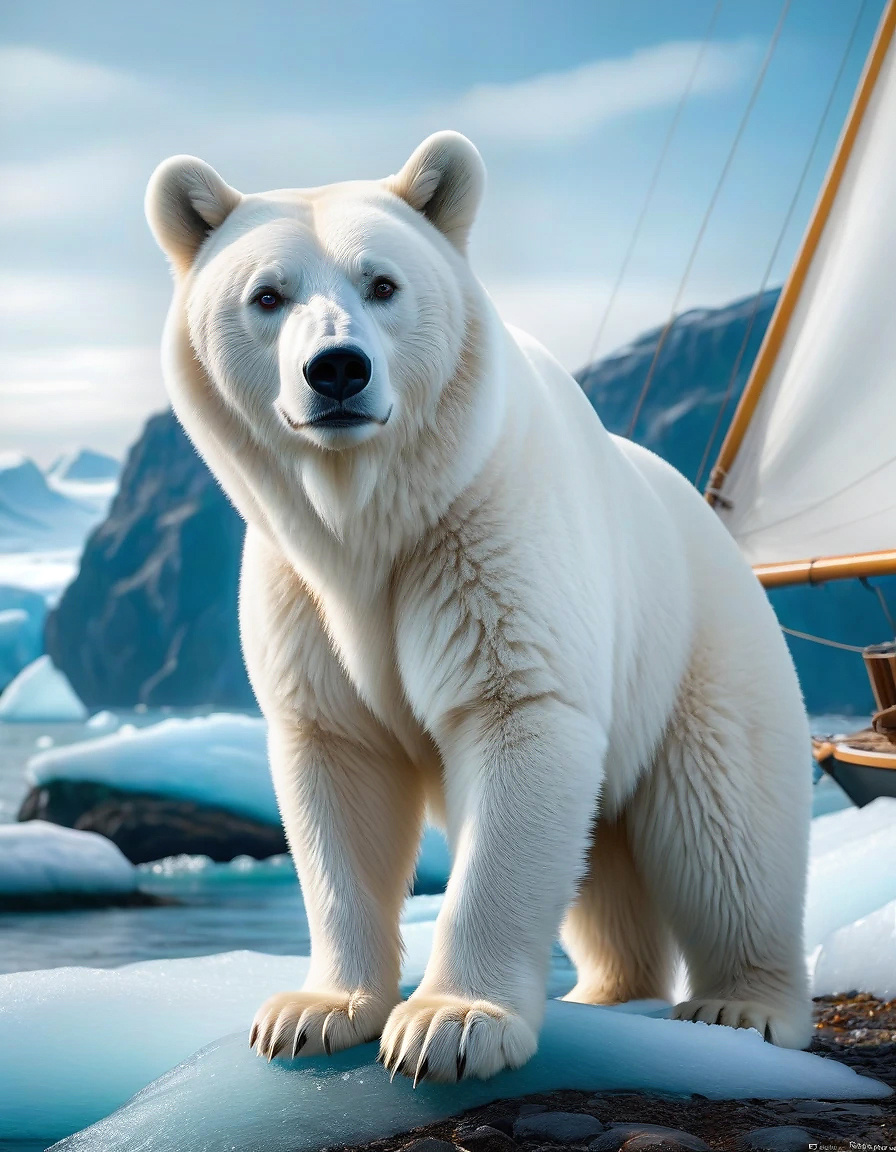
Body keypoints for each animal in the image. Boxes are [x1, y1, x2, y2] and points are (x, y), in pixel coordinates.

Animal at [145, 131, 812, 1082]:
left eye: (383, 283)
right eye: (267, 295)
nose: (337, 369)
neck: (371, 522)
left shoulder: (487, 542)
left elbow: (516, 720)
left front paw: (450, 1027)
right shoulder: (297, 591)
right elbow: (337, 768)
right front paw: (312, 1013)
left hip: (703, 652)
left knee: (727, 827)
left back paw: (742, 1005)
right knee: (606, 861)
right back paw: (609, 990)